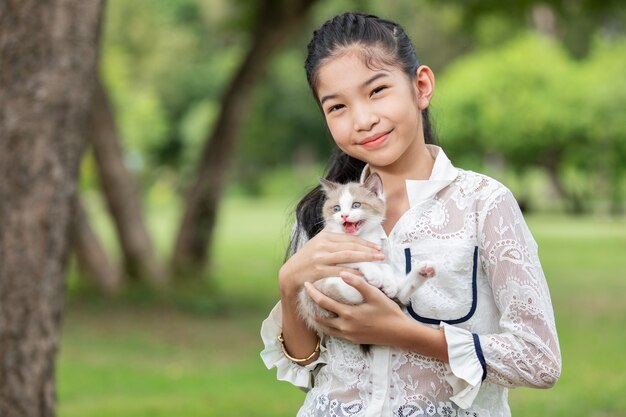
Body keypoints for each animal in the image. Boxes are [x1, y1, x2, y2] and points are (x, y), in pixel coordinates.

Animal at [296, 171, 434, 344]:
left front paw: (388, 281)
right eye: (336, 208)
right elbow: (356, 259)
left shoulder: (379, 251)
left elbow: (386, 266)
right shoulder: (330, 255)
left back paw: (423, 271)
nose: (344, 215)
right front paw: (375, 274)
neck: (362, 237)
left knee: (399, 295)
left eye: (356, 205)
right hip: (312, 295)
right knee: (346, 292)